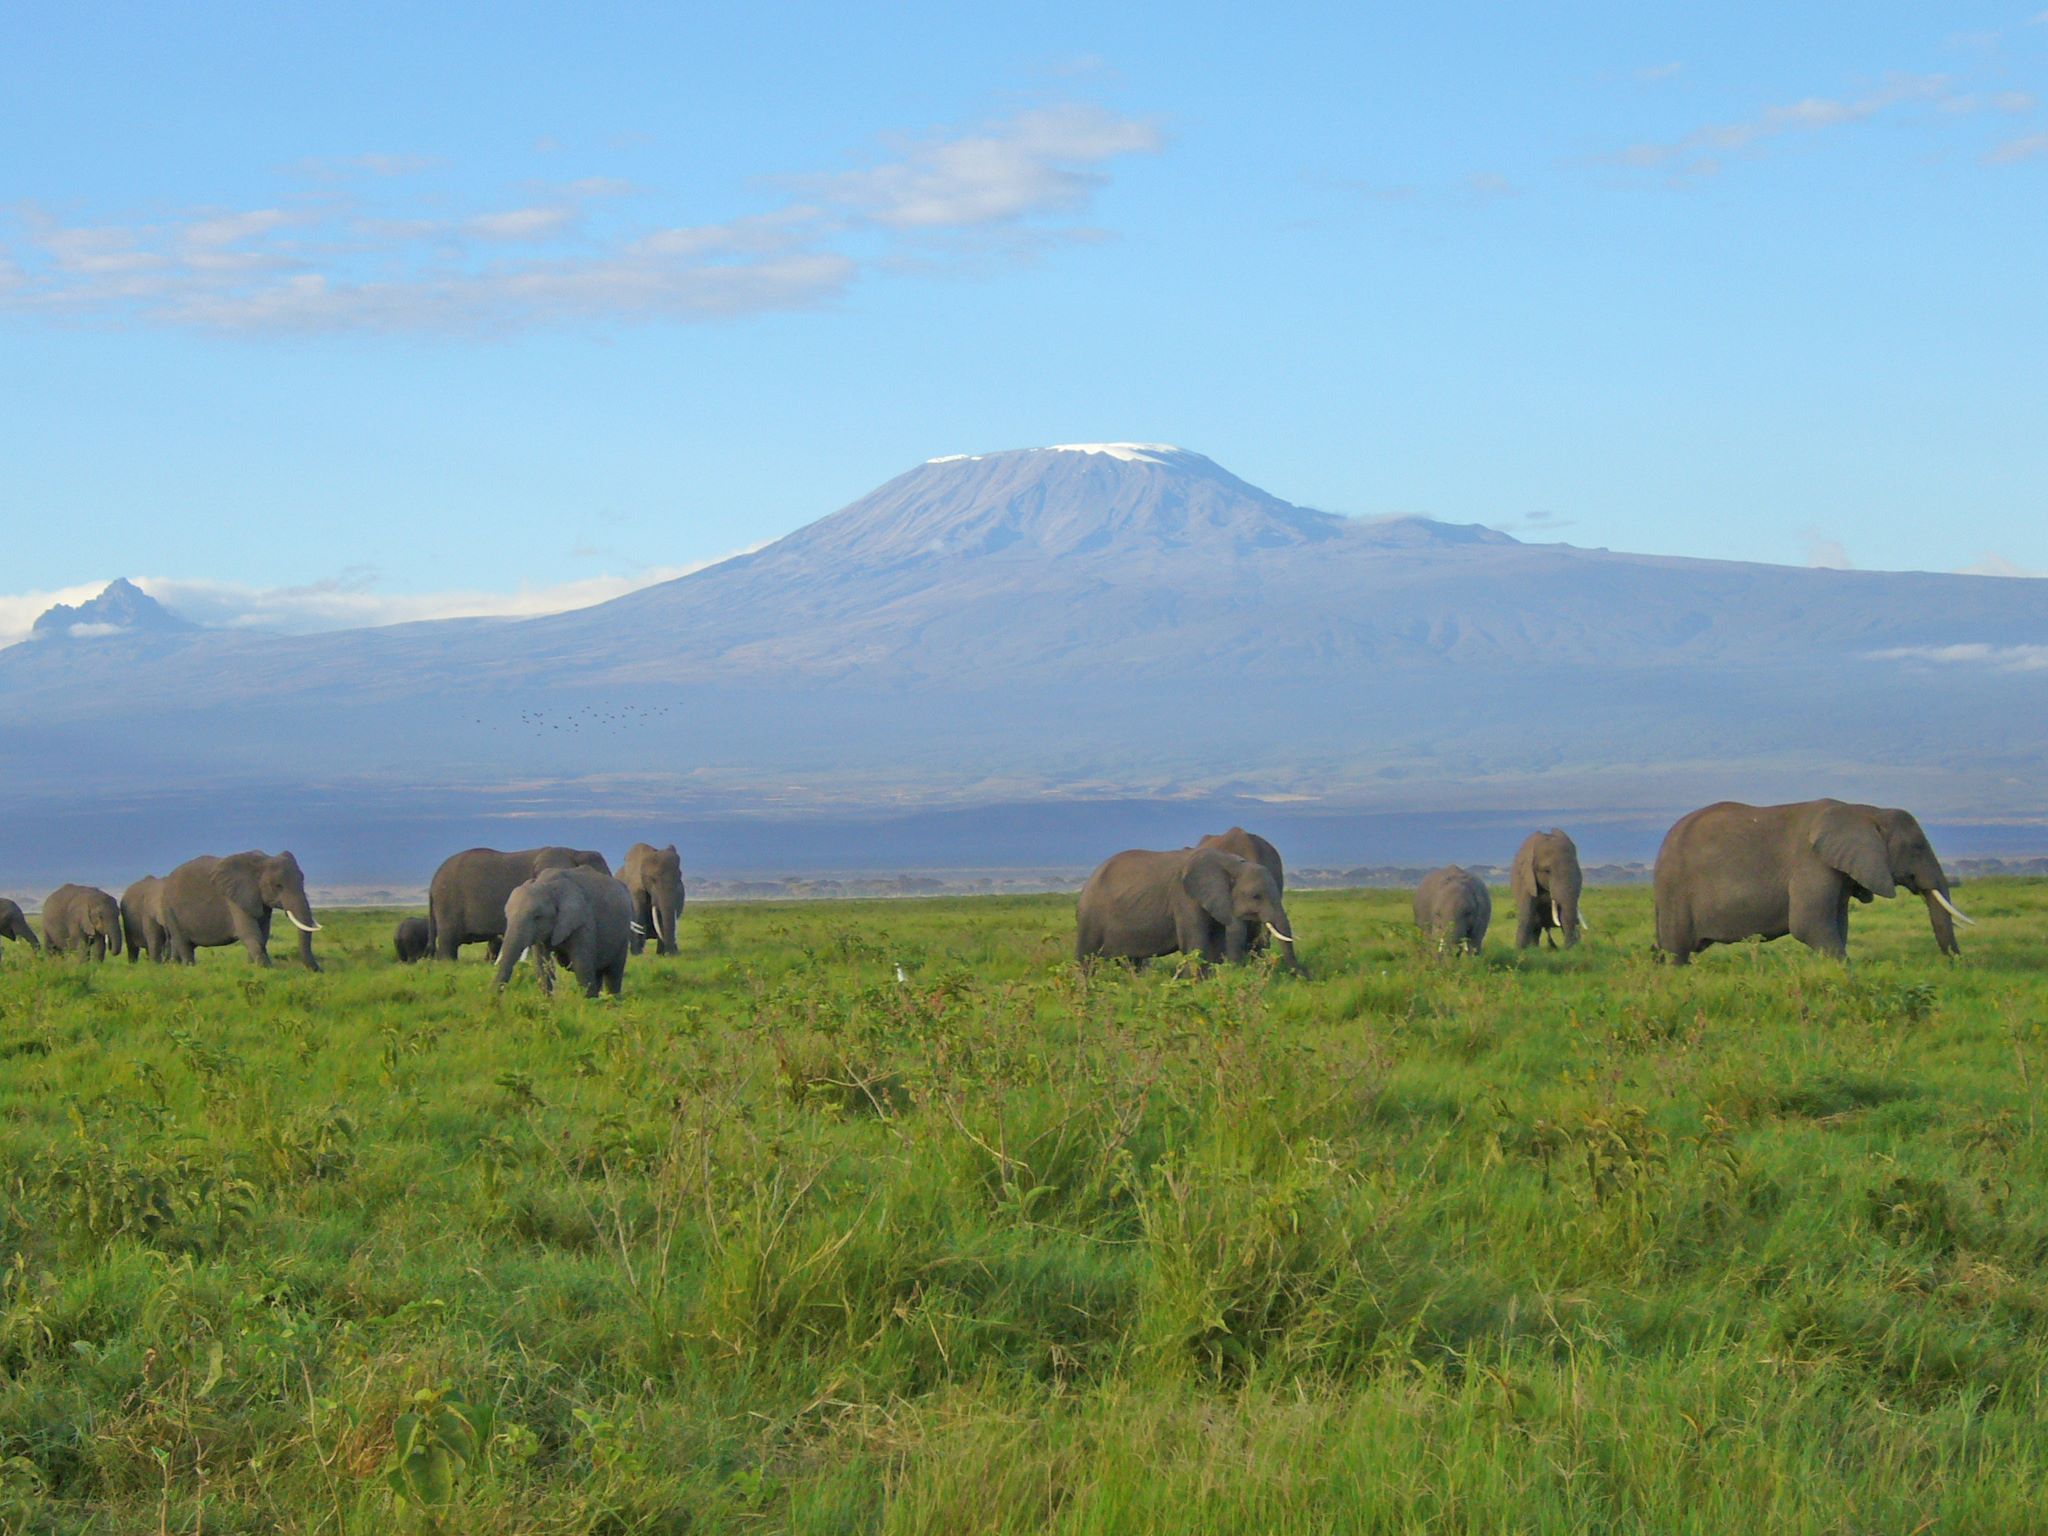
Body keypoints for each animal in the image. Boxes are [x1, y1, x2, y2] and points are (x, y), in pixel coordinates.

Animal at [157, 856, 323, 974]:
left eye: (302, 880)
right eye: (278, 886)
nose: (319, 970)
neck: (262, 861)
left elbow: (263, 934)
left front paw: (251, 966)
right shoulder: (235, 899)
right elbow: (249, 933)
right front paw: (267, 969)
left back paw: (175, 966)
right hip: (169, 909)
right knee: (182, 942)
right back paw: (189, 968)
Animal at [489, 868, 630, 999]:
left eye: (537, 917)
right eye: (507, 916)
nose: (493, 1002)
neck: (548, 884)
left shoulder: (583, 922)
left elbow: (581, 964)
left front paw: (589, 1003)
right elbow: (542, 965)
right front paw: (548, 1003)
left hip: (623, 933)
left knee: (614, 972)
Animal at [1064, 843, 1302, 974]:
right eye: (1256, 896)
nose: (1305, 977)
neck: (1231, 862)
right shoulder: (1185, 898)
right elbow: (1195, 944)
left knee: (1133, 961)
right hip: (1090, 916)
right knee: (1086, 959)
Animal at [1646, 798, 1966, 966]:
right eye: (1917, 847)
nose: (1954, 963)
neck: (1864, 811)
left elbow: (1837, 925)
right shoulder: (1812, 865)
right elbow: (1809, 925)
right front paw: (1847, 971)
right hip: (1675, 889)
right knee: (1677, 952)